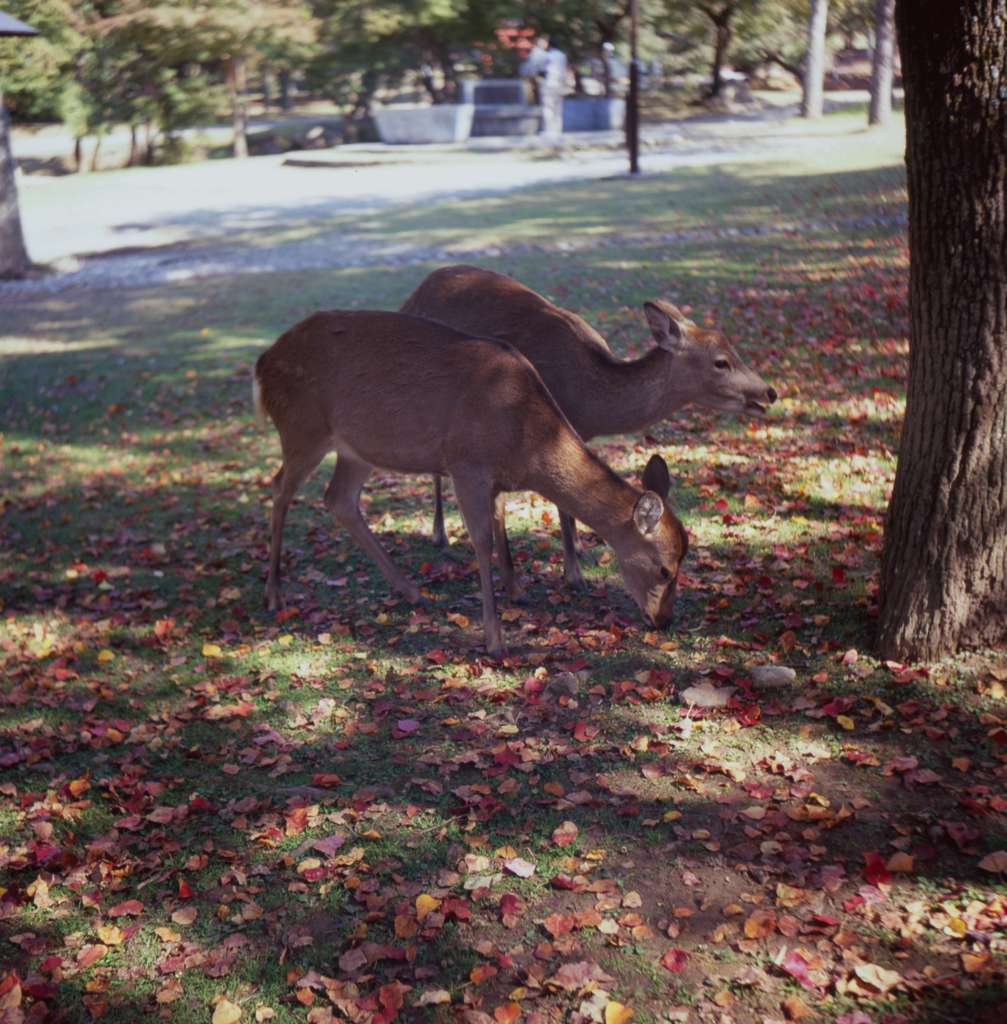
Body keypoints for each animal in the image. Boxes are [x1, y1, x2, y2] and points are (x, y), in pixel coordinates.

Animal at [256, 307, 688, 655]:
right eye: (664, 569)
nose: (664, 620)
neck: (524, 443)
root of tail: (262, 366)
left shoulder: (493, 481)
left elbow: (498, 526)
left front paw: (516, 595)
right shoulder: (466, 465)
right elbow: (481, 542)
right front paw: (495, 641)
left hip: (357, 448)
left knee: (339, 499)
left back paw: (412, 591)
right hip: (302, 427)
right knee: (279, 488)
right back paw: (275, 595)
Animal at [401, 264, 778, 585]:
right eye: (721, 362)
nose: (769, 391)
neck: (588, 400)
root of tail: (412, 295)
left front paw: (580, 549)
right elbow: (561, 504)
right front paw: (574, 574)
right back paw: (439, 533)